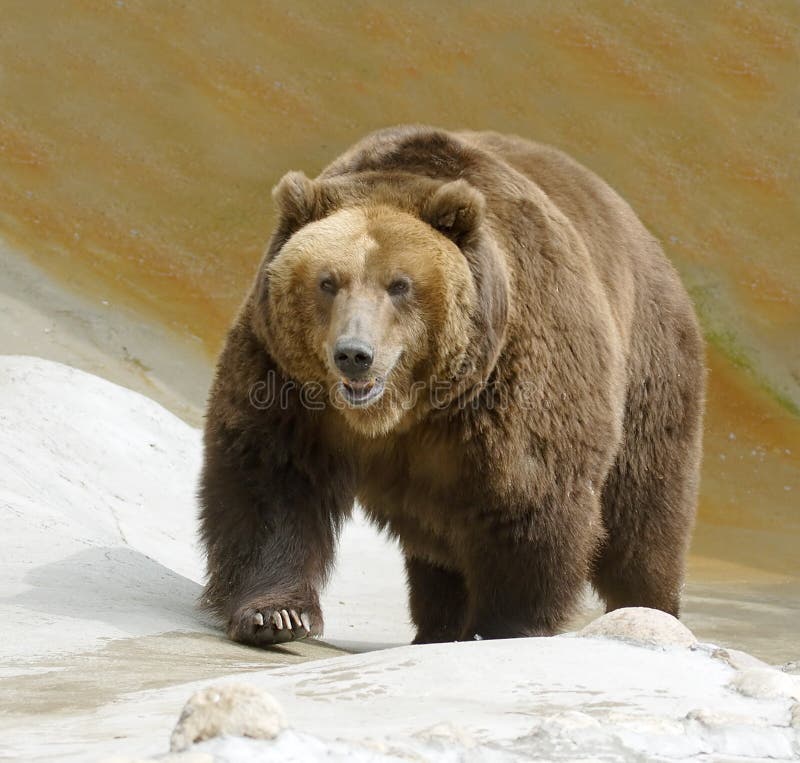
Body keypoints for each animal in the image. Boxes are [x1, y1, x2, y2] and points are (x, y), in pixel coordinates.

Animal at [197, 125, 704, 644]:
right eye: (328, 281)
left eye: (399, 284)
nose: (355, 355)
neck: (408, 408)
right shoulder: (287, 381)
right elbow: (273, 477)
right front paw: (276, 615)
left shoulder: (511, 387)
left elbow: (527, 496)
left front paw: (506, 626)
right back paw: (434, 627)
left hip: (650, 373)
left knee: (643, 520)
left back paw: (653, 607)